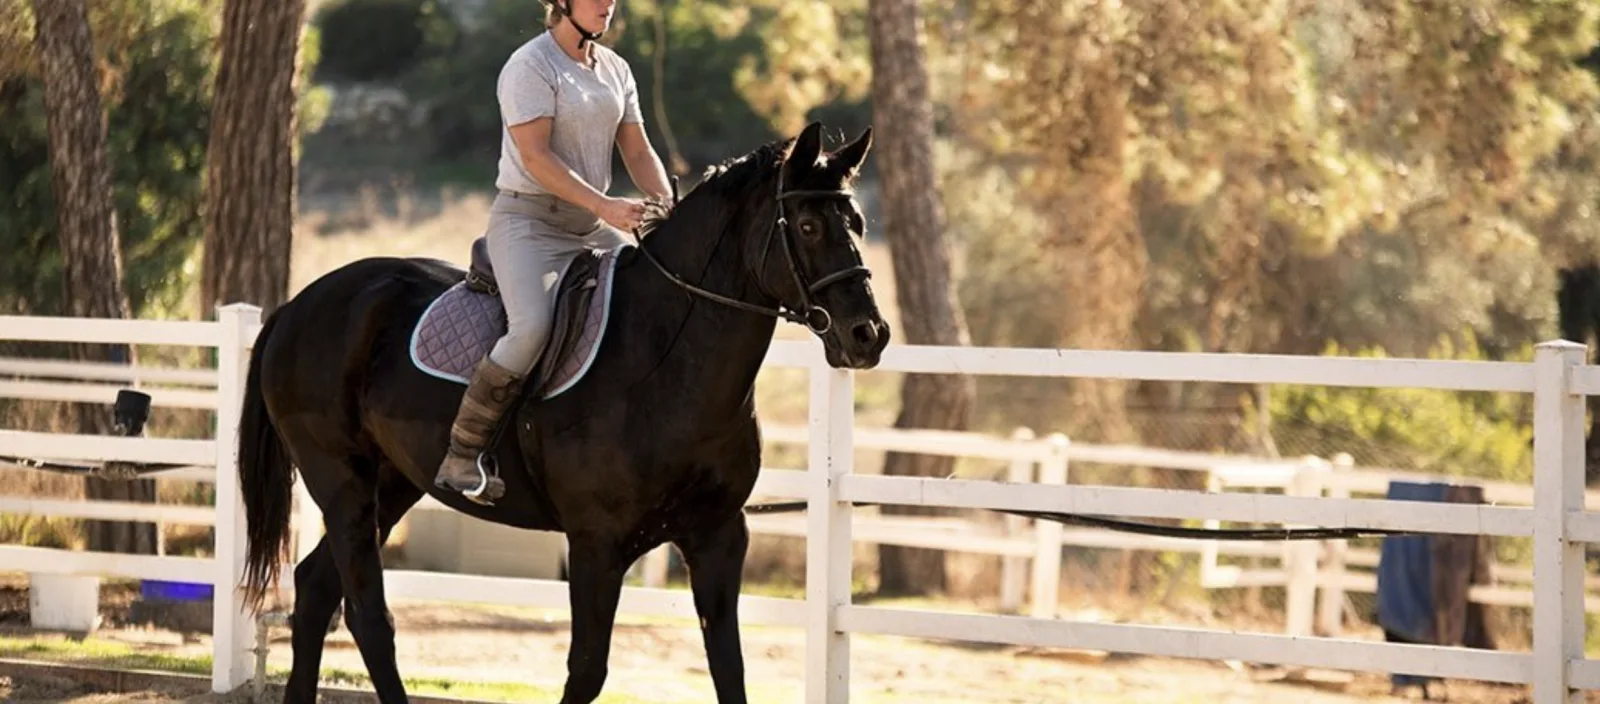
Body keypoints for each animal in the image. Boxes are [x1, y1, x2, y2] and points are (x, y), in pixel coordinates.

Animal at [234, 121, 890, 703]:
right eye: (807, 225)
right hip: (341, 481)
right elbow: (587, 671)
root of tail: (299, 304)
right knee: (369, 617)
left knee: (315, 589)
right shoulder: (596, 544)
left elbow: (729, 670)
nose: (869, 336)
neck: (661, 358)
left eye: (856, 223)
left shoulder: (718, 535)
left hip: (392, 484)